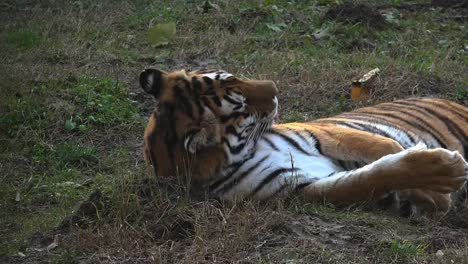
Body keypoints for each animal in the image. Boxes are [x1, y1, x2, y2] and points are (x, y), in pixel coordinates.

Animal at [140, 67, 468, 214]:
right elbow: (373, 178)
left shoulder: (321, 134)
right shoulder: (303, 188)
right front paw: (442, 179)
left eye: (232, 76)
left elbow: (385, 147)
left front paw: (434, 186)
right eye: (242, 106)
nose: (274, 88)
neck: (245, 153)